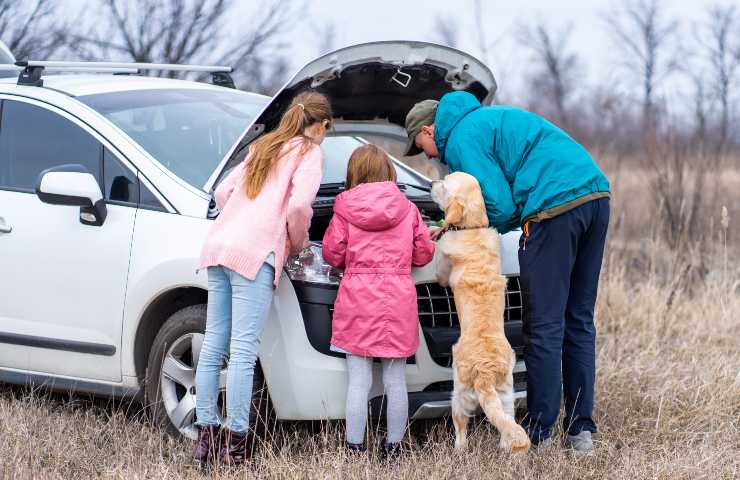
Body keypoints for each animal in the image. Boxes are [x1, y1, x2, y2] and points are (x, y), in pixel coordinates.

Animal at [430, 172, 528, 454]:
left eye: (444, 184)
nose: (430, 183)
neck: (472, 229)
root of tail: (486, 372)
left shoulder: (442, 267)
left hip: (459, 394)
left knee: (461, 428)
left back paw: (458, 450)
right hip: (505, 395)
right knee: (506, 422)